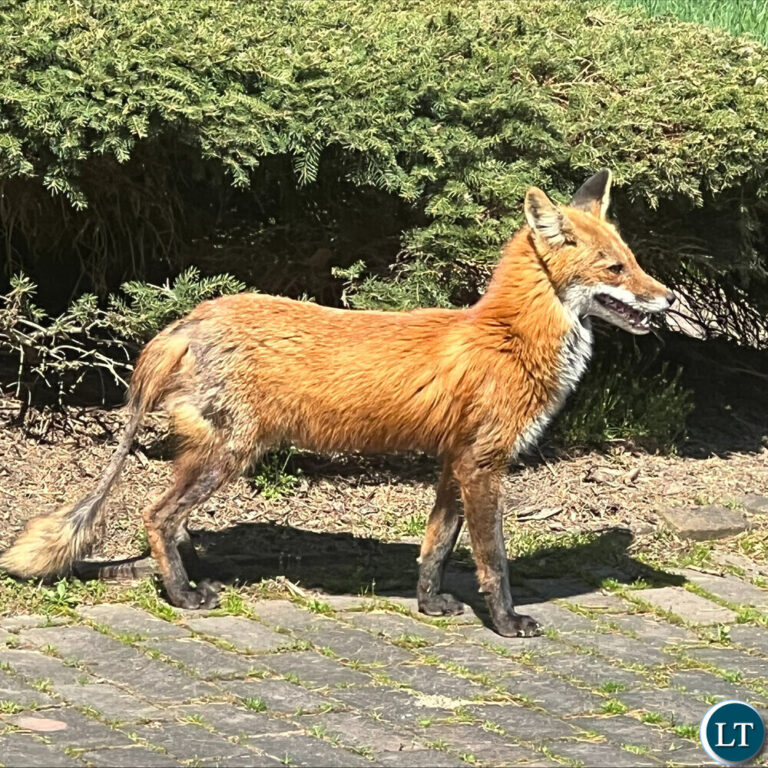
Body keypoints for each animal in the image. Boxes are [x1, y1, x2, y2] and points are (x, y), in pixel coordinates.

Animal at [0, 170, 673, 637]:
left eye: (635, 262)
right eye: (616, 269)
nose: (668, 299)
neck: (508, 338)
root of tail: (190, 318)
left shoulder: (454, 462)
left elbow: (435, 546)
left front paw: (429, 605)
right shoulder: (484, 464)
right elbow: (494, 559)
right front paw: (506, 624)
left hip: (214, 456)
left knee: (176, 523)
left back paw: (190, 577)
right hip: (228, 456)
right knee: (157, 516)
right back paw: (184, 596)